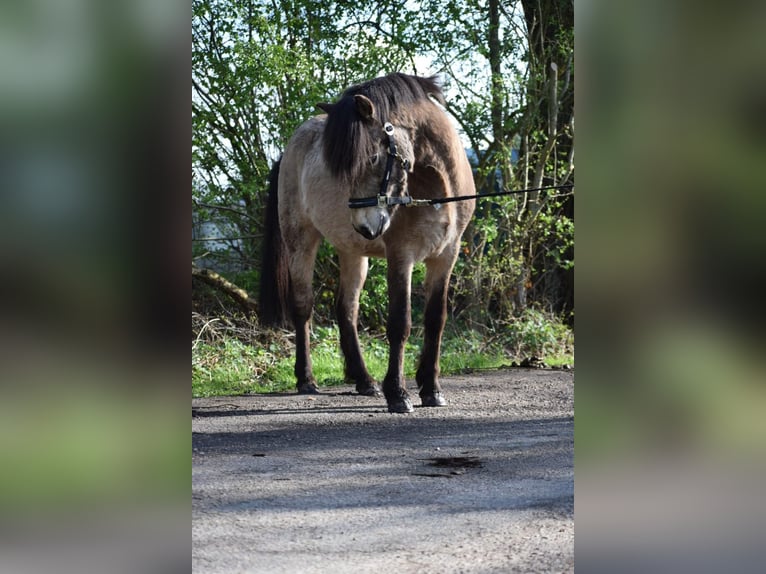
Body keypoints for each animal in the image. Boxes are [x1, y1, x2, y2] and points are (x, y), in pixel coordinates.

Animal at [260, 73, 476, 414]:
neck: (437, 189)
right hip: (300, 241)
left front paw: (431, 389)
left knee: (347, 309)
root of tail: (288, 150)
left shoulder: (446, 257)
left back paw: (363, 380)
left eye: (372, 157)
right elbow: (400, 323)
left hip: (352, 252)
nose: (364, 225)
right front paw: (398, 394)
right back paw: (306, 379)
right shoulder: (401, 257)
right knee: (302, 307)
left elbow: (435, 320)